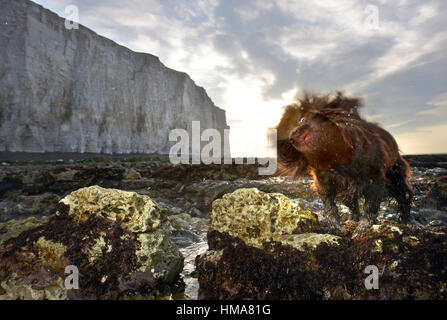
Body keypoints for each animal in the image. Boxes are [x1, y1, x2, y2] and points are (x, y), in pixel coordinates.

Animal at [276, 91, 412, 236]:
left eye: (313, 127)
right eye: (301, 121)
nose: (292, 135)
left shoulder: (374, 182)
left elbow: (369, 208)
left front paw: (362, 228)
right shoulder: (326, 184)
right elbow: (331, 207)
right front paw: (335, 226)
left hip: (397, 178)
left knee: (404, 198)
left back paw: (409, 221)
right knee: (353, 205)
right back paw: (352, 219)